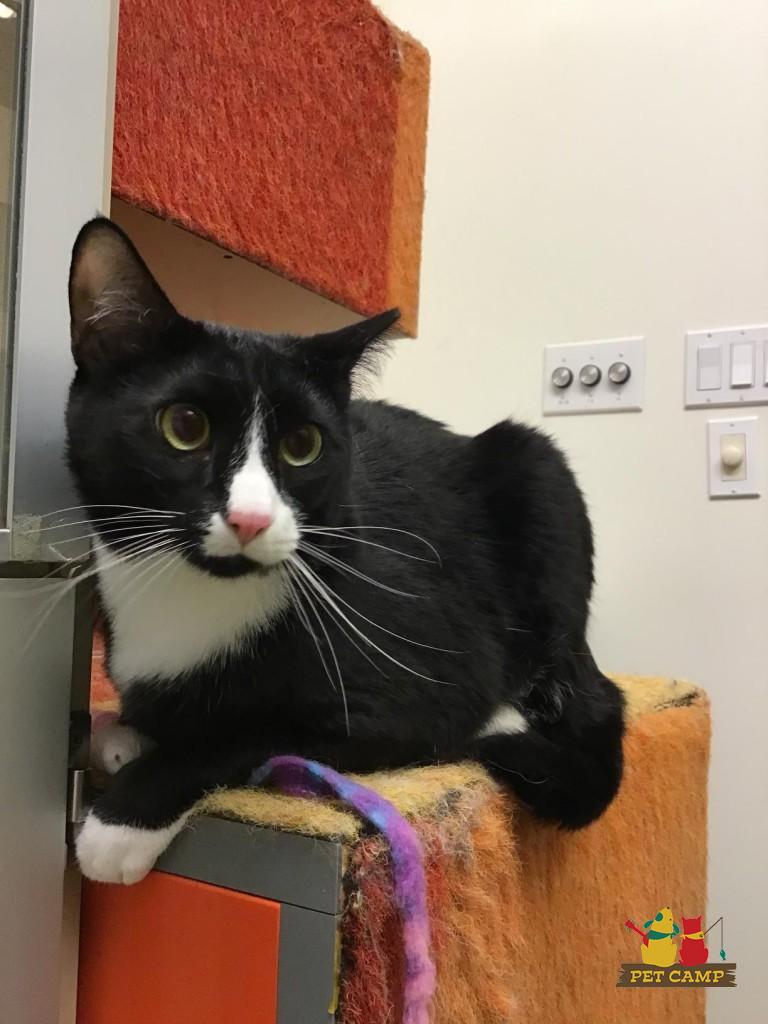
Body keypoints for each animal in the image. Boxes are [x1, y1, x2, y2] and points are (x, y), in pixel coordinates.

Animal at [67, 218, 624, 884]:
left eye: (303, 445)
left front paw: (123, 821)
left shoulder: (418, 676)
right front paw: (121, 735)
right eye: (184, 426)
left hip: (538, 471)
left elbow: (249, 732)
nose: (251, 517)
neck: (194, 599)